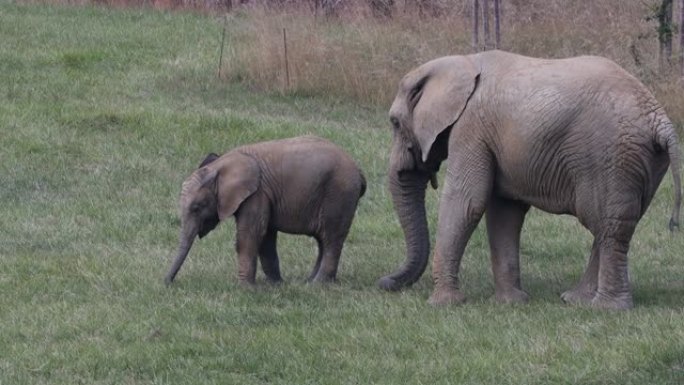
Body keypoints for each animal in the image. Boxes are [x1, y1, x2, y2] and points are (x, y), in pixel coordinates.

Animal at [164, 135, 366, 284]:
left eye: (196, 207)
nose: (167, 283)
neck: (222, 165)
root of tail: (359, 170)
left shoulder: (257, 194)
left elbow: (250, 235)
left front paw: (245, 288)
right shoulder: (264, 195)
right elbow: (266, 237)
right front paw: (275, 285)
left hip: (339, 195)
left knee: (331, 239)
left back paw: (318, 284)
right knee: (322, 241)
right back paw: (308, 282)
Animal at [376, 51, 680, 308]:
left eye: (394, 123)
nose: (384, 282)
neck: (461, 61)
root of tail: (659, 120)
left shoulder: (471, 128)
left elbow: (467, 201)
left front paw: (443, 304)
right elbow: (504, 211)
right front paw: (511, 303)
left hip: (610, 155)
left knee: (609, 226)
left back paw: (605, 308)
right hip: (642, 162)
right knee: (614, 226)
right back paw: (578, 301)